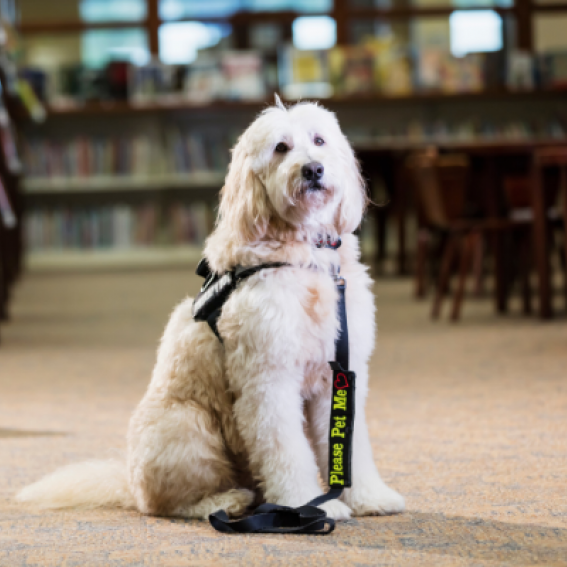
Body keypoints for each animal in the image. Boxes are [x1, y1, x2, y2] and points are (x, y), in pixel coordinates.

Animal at [16, 96, 404, 524]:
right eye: (281, 148)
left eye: (319, 140)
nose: (313, 169)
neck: (304, 254)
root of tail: (130, 485)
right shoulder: (268, 379)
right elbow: (287, 450)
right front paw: (306, 504)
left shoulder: (336, 375)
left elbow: (349, 445)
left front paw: (368, 497)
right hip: (188, 425)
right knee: (169, 504)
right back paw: (226, 501)